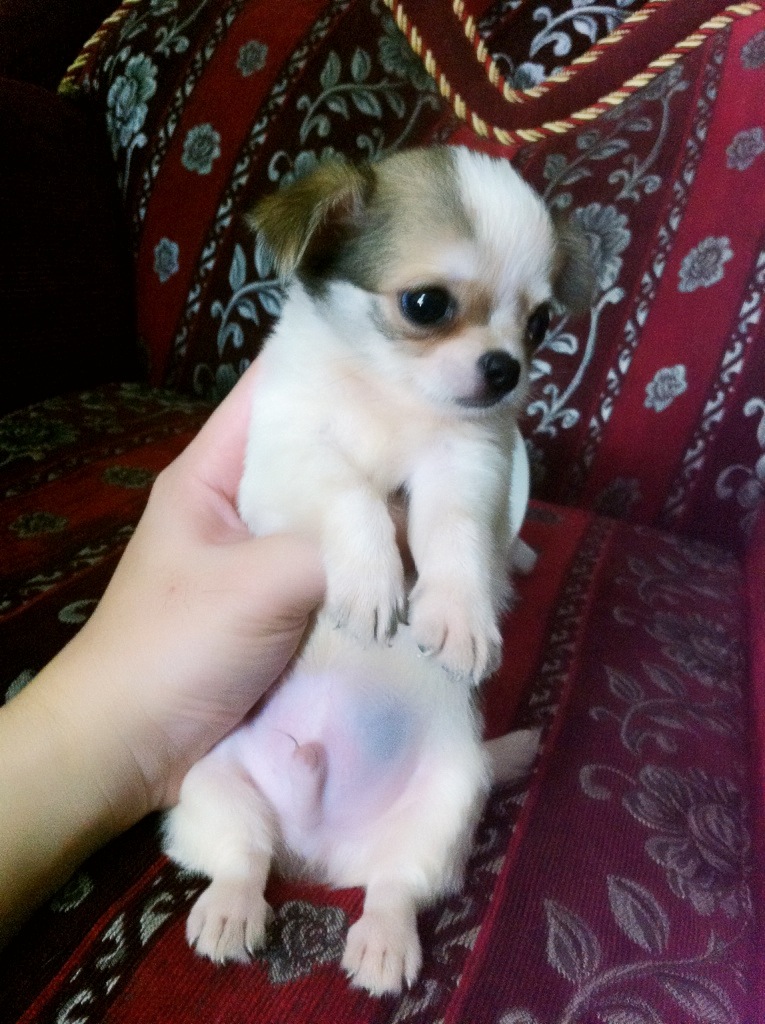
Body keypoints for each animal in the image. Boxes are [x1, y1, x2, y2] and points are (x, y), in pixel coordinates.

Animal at [163, 146, 594, 996]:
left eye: (538, 324)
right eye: (425, 305)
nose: (506, 368)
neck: (390, 396)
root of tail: (314, 850)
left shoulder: (469, 465)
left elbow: (456, 536)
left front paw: (459, 616)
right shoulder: (283, 461)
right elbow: (351, 494)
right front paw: (369, 585)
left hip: (444, 814)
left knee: (392, 888)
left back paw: (383, 947)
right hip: (205, 787)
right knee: (243, 858)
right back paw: (228, 910)